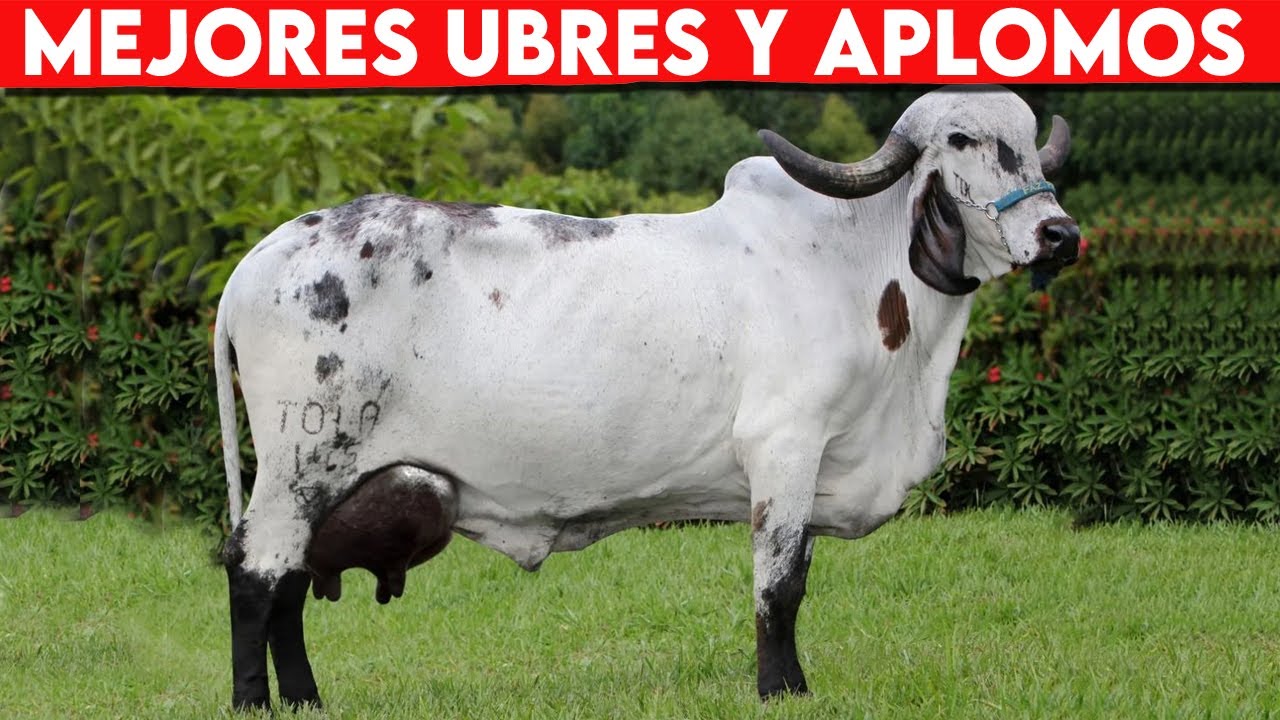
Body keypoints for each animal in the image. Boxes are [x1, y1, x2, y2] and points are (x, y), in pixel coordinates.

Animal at [215, 85, 1078, 710]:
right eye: (961, 140)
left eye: (1030, 136)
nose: (1060, 234)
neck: (854, 263)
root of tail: (259, 261)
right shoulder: (785, 448)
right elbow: (780, 586)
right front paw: (781, 690)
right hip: (300, 460)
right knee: (257, 575)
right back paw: (256, 702)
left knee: (291, 582)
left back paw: (305, 700)